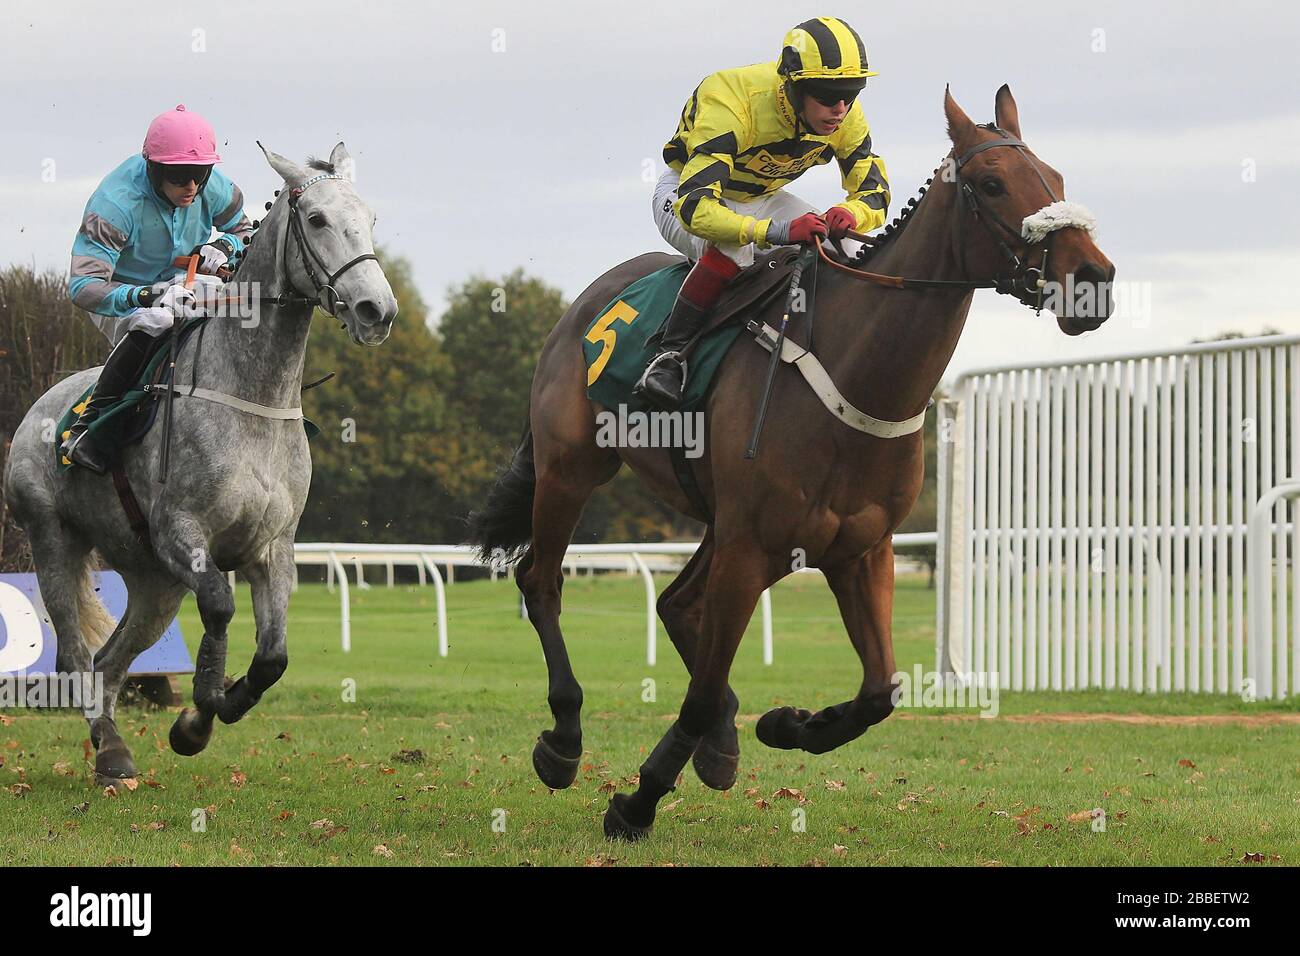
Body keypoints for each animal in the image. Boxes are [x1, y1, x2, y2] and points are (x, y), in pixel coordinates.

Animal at [2, 140, 397, 785]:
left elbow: (273, 657)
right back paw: (108, 748)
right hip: (53, 539)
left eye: (370, 217)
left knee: (112, 659)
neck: (254, 397)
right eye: (316, 219)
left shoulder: (272, 547)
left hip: (153, 581)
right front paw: (200, 713)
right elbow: (218, 607)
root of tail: (44, 401)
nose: (375, 310)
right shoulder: (181, 534)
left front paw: (203, 716)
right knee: (77, 655)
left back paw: (114, 748)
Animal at [473, 87, 1112, 837]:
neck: (853, 371)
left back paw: (720, 744)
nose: (1094, 279)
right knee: (542, 581)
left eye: (1057, 179)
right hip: (574, 469)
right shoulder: (752, 546)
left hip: (727, 524)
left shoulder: (857, 549)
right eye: (991, 184)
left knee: (678, 603)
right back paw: (566, 740)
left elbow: (880, 690)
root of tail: (581, 305)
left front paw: (784, 724)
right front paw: (637, 801)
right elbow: (698, 695)